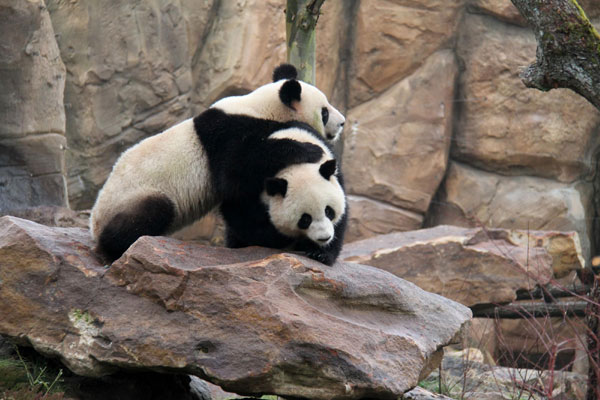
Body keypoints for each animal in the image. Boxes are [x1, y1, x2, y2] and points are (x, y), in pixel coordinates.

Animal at [88, 63, 342, 260]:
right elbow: (234, 172)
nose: (342, 123)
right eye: (324, 112)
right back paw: (117, 246)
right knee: (149, 212)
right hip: (135, 197)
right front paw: (307, 149)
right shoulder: (226, 134)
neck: (259, 106)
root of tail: (94, 224)